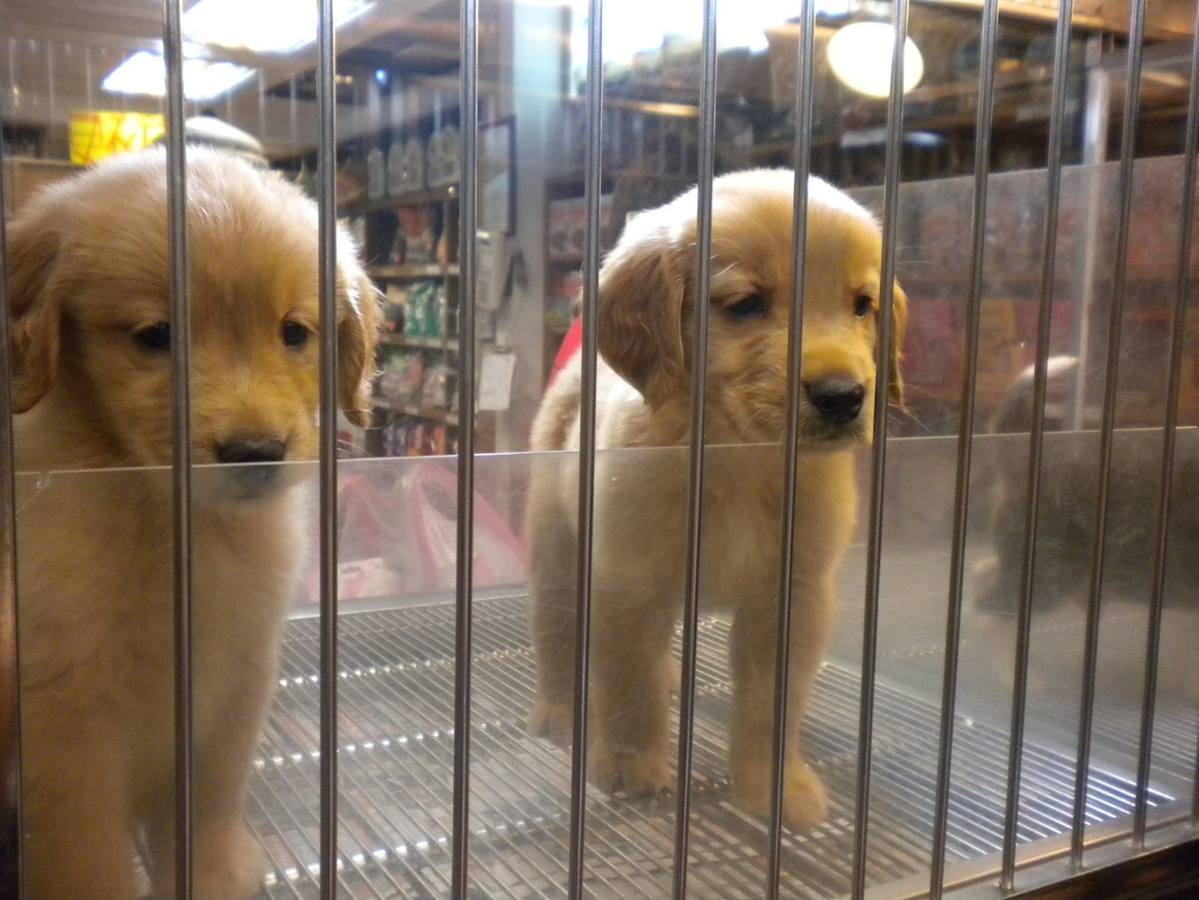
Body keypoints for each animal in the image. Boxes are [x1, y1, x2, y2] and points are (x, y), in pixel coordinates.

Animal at [10, 149, 378, 900]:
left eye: (294, 332)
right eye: (156, 337)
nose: (255, 450)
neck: (174, 520)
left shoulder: (234, 685)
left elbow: (208, 801)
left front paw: (212, 874)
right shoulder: (67, 718)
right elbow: (85, 854)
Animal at [527, 168, 906, 829]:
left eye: (863, 305)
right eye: (746, 304)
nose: (842, 396)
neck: (736, 456)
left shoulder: (792, 598)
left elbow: (770, 706)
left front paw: (773, 790)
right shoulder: (627, 583)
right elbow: (629, 686)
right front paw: (629, 765)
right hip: (556, 547)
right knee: (556, 631)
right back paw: (558, 708)